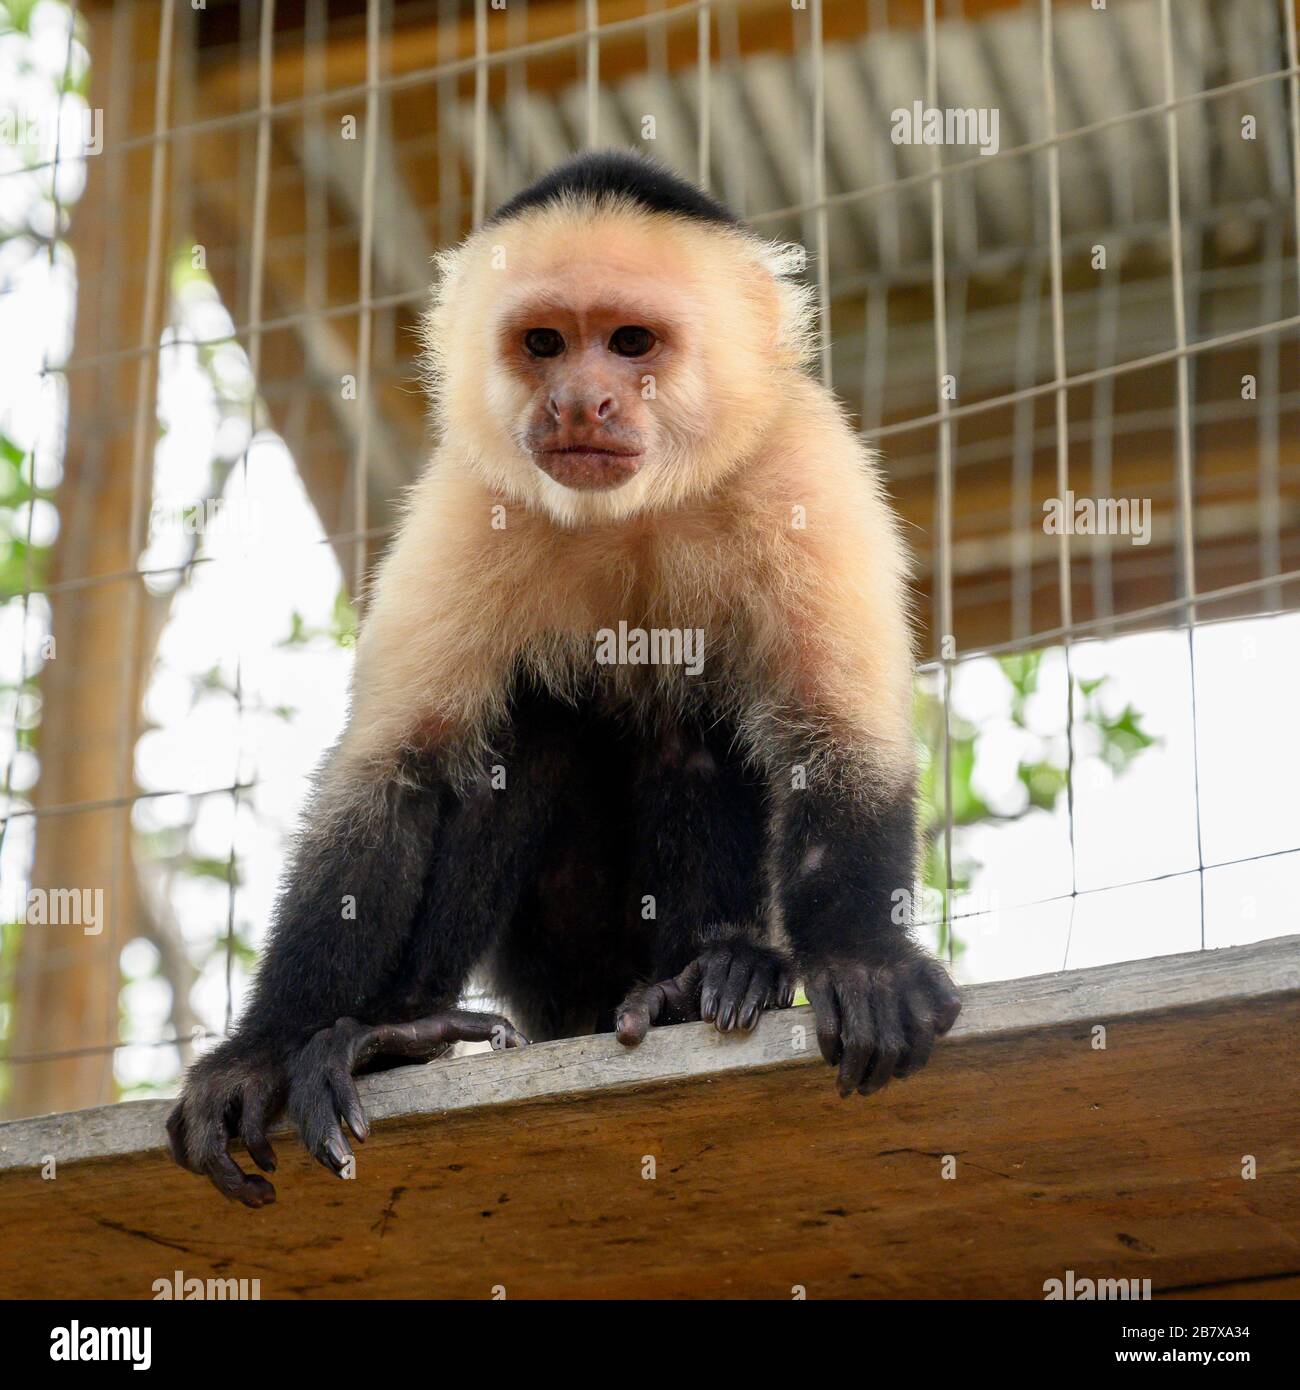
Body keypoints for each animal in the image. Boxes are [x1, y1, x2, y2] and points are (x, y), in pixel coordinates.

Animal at [166, 150, 961, 1207]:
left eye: (630, 343)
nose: (581, 402)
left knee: (695, 720)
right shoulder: (469, 495)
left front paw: (866, 963)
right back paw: (399, 1033)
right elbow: (391, 773)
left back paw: (711, 977)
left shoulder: (804, 465)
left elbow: (835, 734)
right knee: (526, 730)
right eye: (544, 343)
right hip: (551, 971)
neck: (638, 506)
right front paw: (262, 1048)